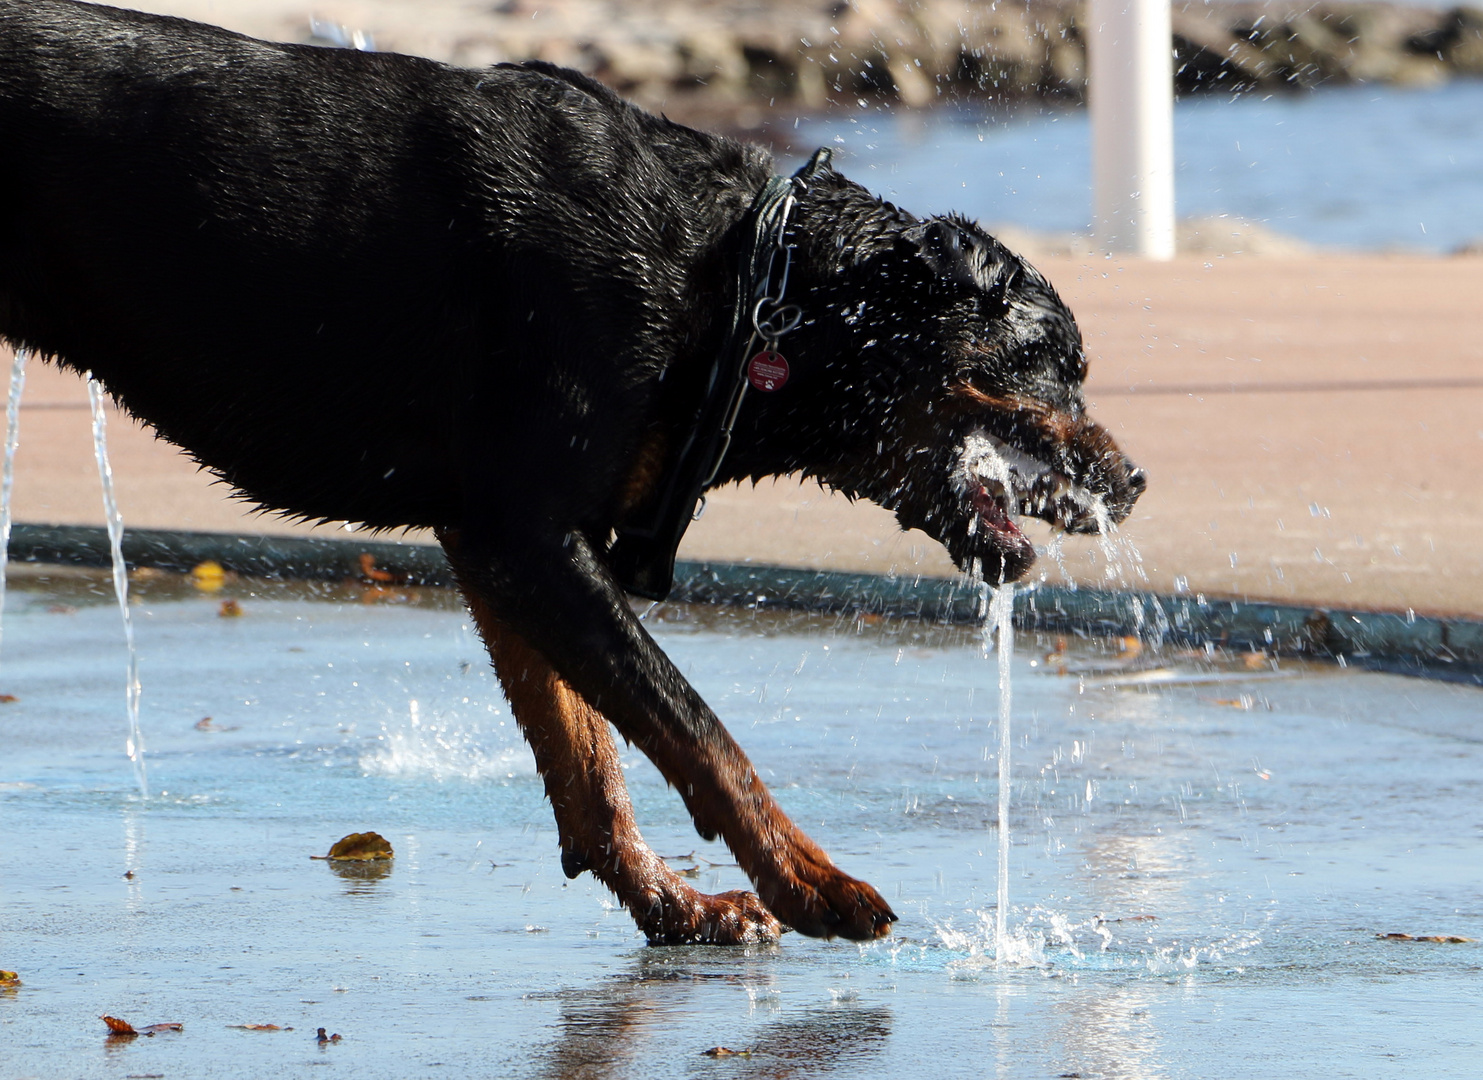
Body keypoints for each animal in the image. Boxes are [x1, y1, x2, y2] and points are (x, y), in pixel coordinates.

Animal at [0, 0, 1144, 943]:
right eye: (1060, 363)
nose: (1134, 481)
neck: (745, 290)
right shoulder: (529, 536)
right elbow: (696, 727)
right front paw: (809, 882)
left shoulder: (502, 541)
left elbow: (588, 757)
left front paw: (674, 904)